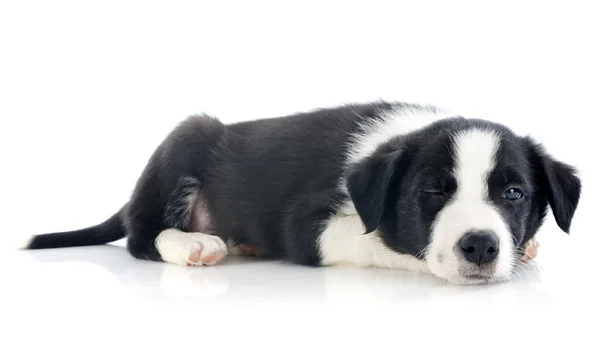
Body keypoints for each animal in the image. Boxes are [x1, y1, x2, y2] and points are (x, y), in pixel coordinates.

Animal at [21, 100, 580, 284]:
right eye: (433, 192)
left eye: (513, 193)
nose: (481, 247)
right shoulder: (308, 224)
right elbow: (383, 243)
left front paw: (526, 246)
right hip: (186, 138)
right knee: (143, 236)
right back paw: (193, 243)